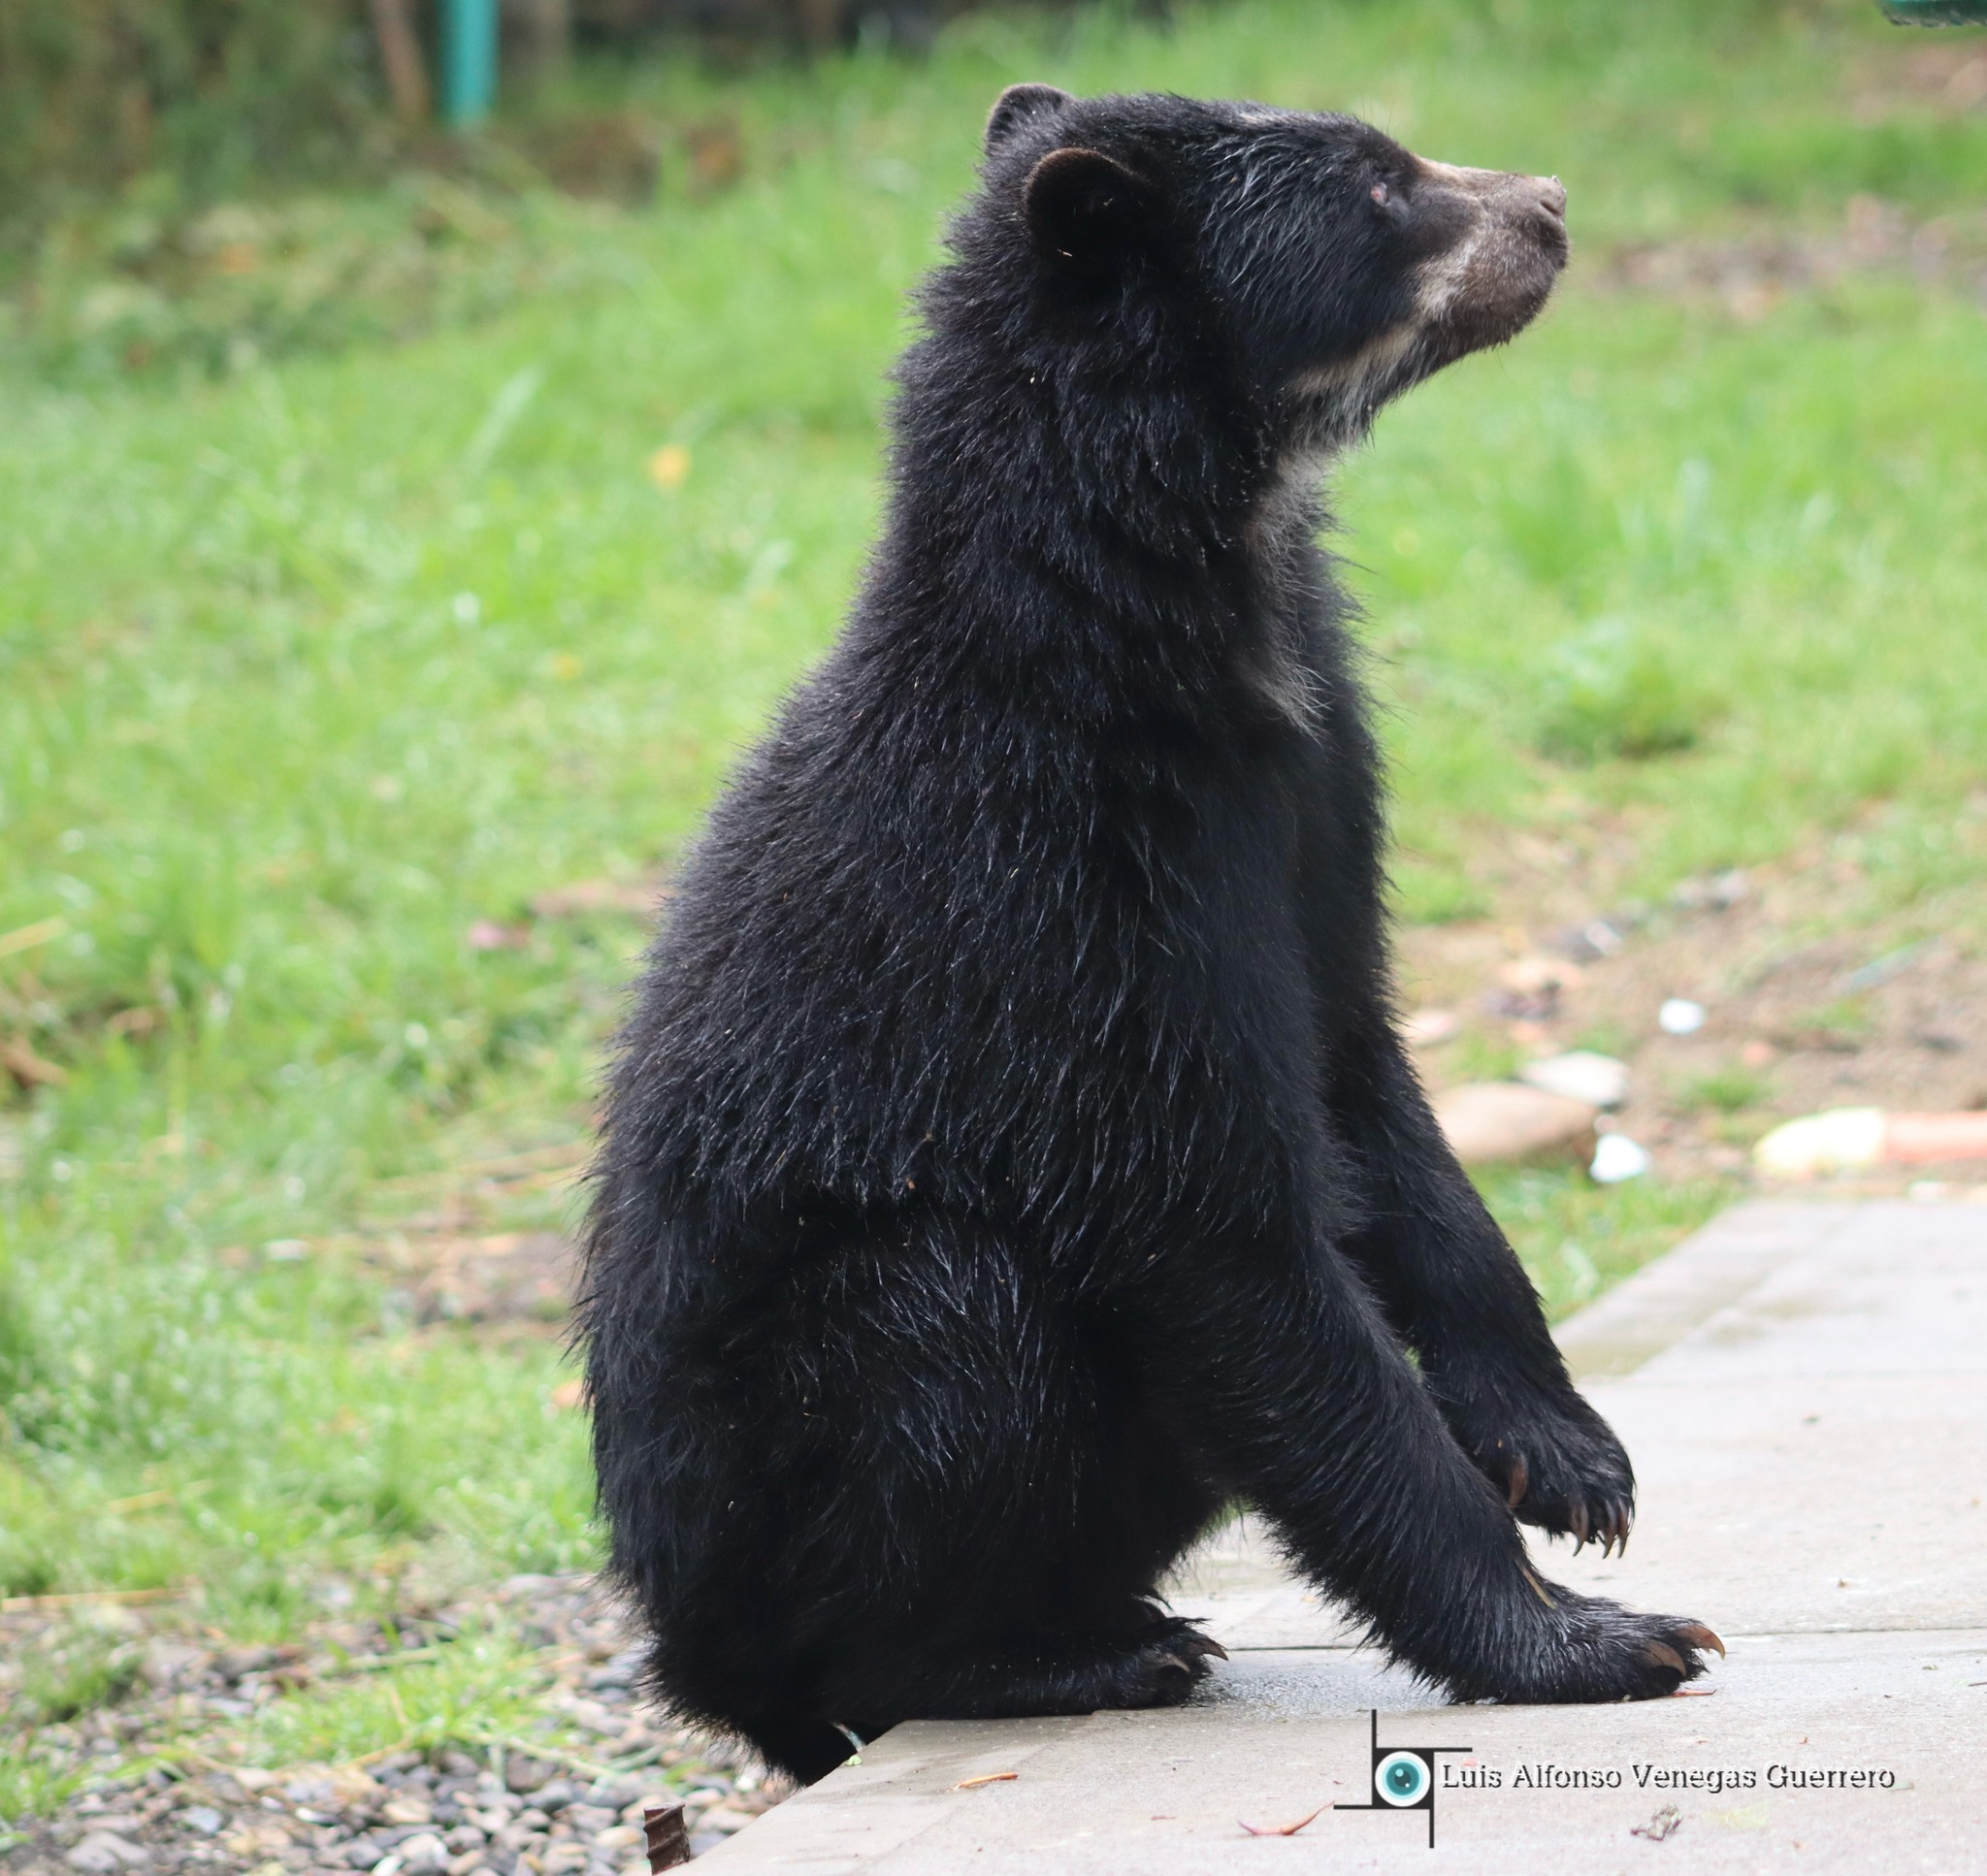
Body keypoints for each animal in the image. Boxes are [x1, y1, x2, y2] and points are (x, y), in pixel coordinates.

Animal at [579, 84, 1721, 1787]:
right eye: (1379, 191)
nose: (1552, 204)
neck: (1198, 609)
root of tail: (688, 1649)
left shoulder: (1317, 790)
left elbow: (1364, 1070)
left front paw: (1569, 1455)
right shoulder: (1074, 890)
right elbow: (1228, 1240)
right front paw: (1598, 1639)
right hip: (802, 1445)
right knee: (946, 1329)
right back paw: (1066, 1653)